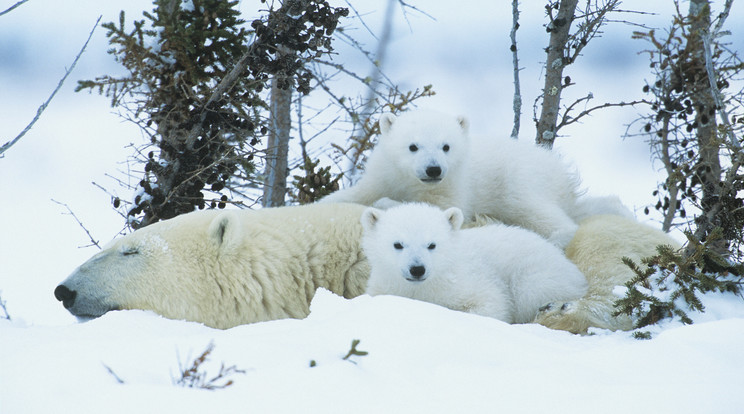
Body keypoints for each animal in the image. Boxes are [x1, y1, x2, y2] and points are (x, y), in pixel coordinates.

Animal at [322, 110, 600, 247]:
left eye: (446, 146)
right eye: (413, 146)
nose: (433, 170)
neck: (409, 179)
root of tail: (561, 171)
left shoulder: (453, 184)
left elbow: (443, 209)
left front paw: (386, 204)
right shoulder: (384, 173)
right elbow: (356, 193)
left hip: (521, 176)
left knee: (531, 207)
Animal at [360, 203, 588, 324]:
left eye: (432, 244)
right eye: (398, 244)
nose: (417, 269)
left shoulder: (466, 280)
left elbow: (493, 304)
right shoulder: (384, 286)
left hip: (537, 275)